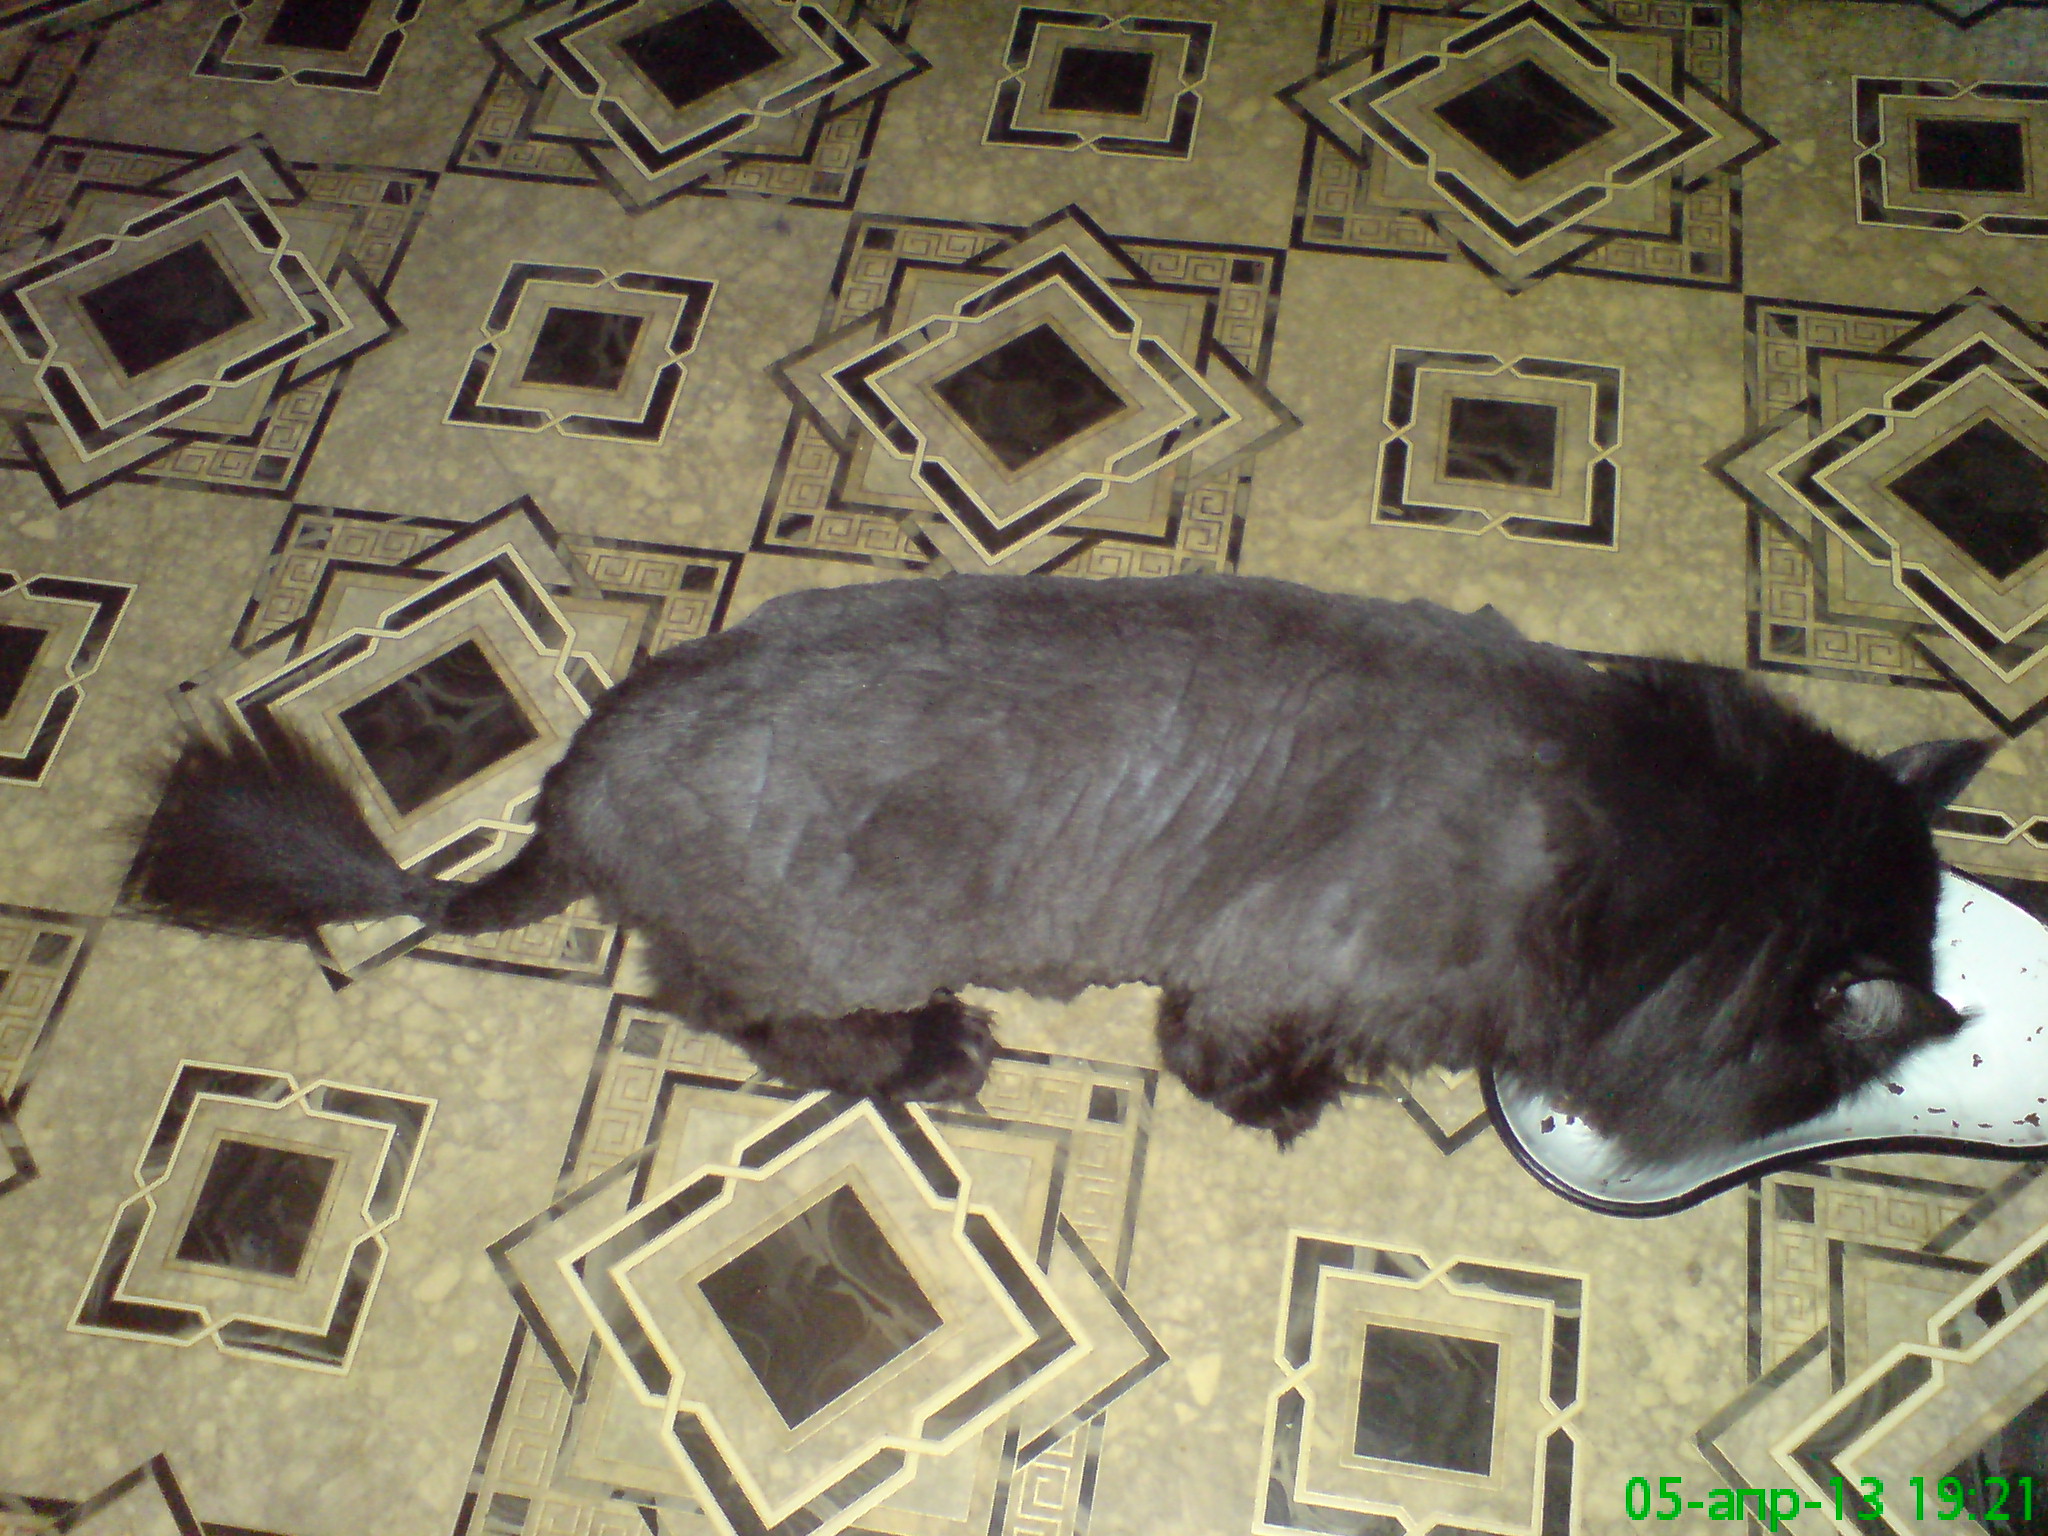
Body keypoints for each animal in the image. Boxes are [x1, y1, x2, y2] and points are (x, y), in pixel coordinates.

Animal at [128, 574, 1990, 1166]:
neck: (1626, 831)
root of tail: (577, 771)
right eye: (1819, 1080)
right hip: (832, 952)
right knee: (758, 1022)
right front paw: (1289, 1109)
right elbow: (1232, 1057)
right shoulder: (1274, 972)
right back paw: (938, 1050)